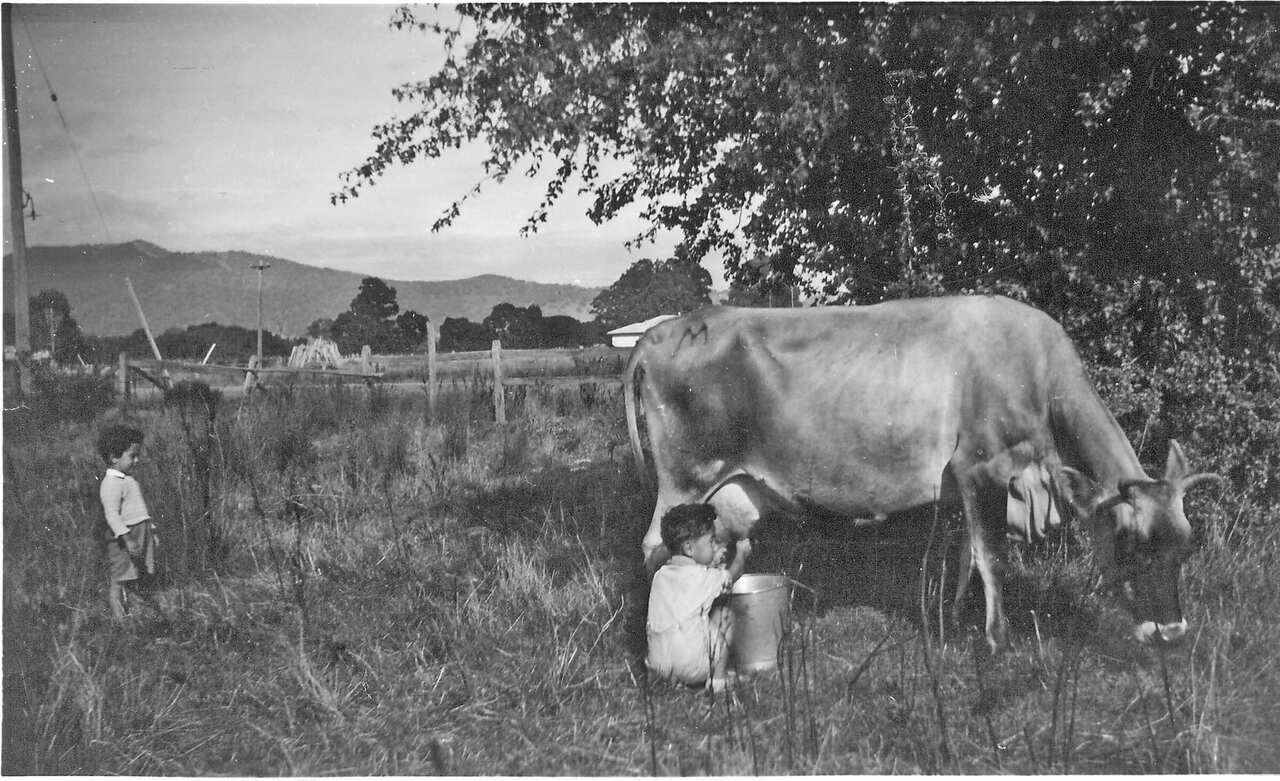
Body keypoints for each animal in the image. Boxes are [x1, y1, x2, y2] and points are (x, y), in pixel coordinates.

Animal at [624, 294, 1223, 647]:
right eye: (1131, 544)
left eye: (1186, 547)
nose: (1172, 631)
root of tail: (661, 332)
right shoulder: (982, 467)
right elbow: (993, 559)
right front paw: (998, 640)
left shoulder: (962, 484)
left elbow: (967, 555)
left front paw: (954, 621)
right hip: (683, 478)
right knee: (655, 546)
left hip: (730, 492)